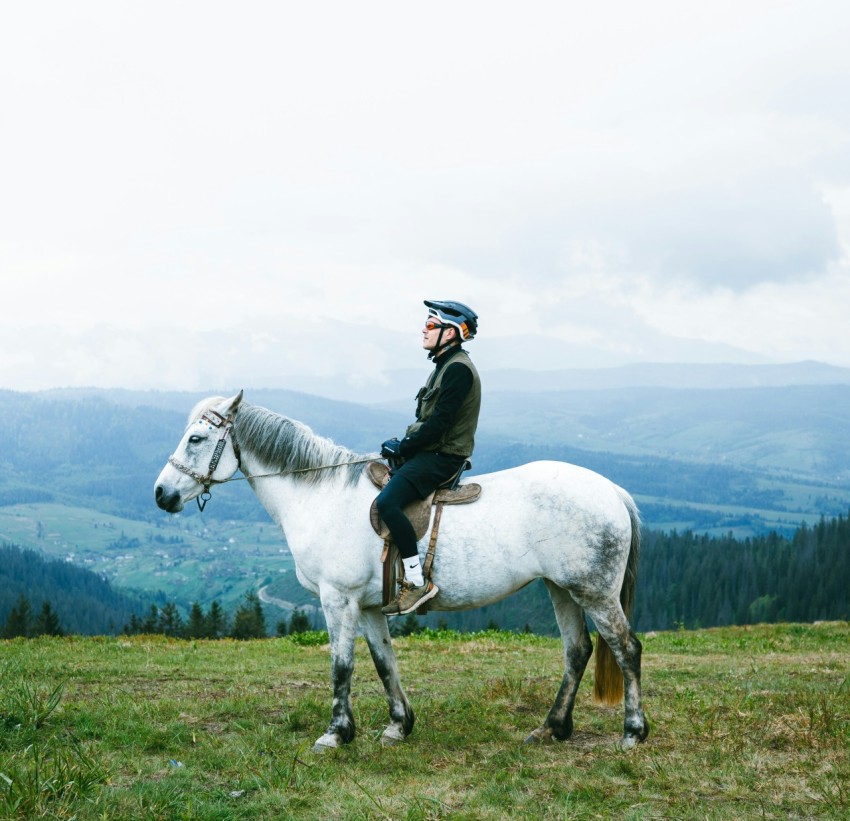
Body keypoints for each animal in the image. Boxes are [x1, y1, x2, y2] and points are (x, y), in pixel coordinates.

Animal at [156, 390, 648, 748]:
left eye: (196, 439)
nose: (162, 494)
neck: (320, 496)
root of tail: (613, 492)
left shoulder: (338, 599)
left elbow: (341, 665)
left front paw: (336, 733)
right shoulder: (370, 607)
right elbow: (383, 662)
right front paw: (398, 725)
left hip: (595, 592)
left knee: (626, 648)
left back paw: (632, 732)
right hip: (561, 588)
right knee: (577, 651)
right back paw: (551, 728)